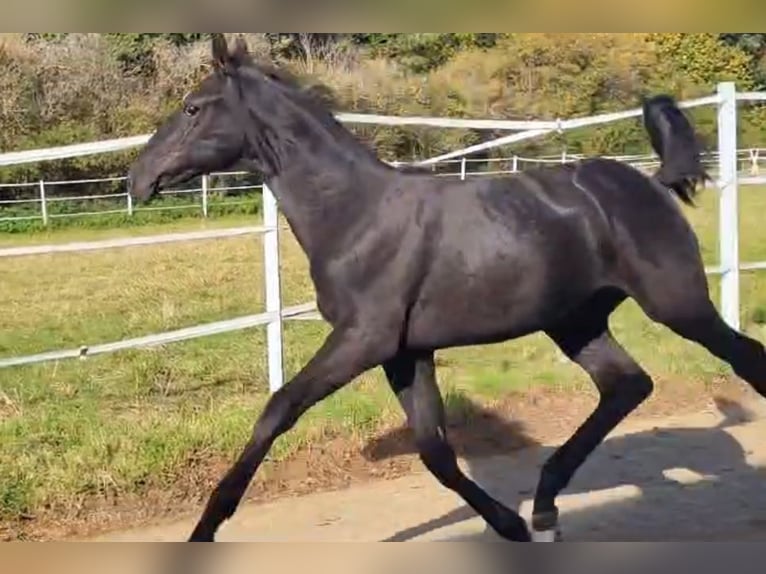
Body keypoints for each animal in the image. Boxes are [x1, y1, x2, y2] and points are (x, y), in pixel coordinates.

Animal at [126, 36, 766, 544]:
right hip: (575, 322)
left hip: (677, 303)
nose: (138, 179)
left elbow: (279, 408)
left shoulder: (363, 339)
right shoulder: (406, 351)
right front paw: (508, 524)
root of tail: (653, 184)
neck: (355, 215)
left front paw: (207, 526)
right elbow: (434, 450)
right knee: (627, 384)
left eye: (193, 107)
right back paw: (544, 507)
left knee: (744, 358)